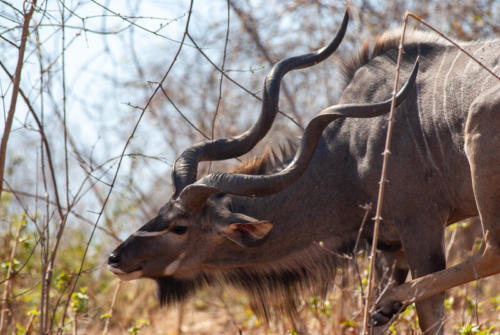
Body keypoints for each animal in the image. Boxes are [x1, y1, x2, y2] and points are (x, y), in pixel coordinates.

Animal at [108, 9, 500, 334]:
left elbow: (428, 314)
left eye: (180, 227)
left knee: (492, 254)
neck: (348, 158)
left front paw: (389, 304)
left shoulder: (420, 224)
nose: (116, 258)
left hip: (478, 130)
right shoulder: (390, 245)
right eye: (162, 211)